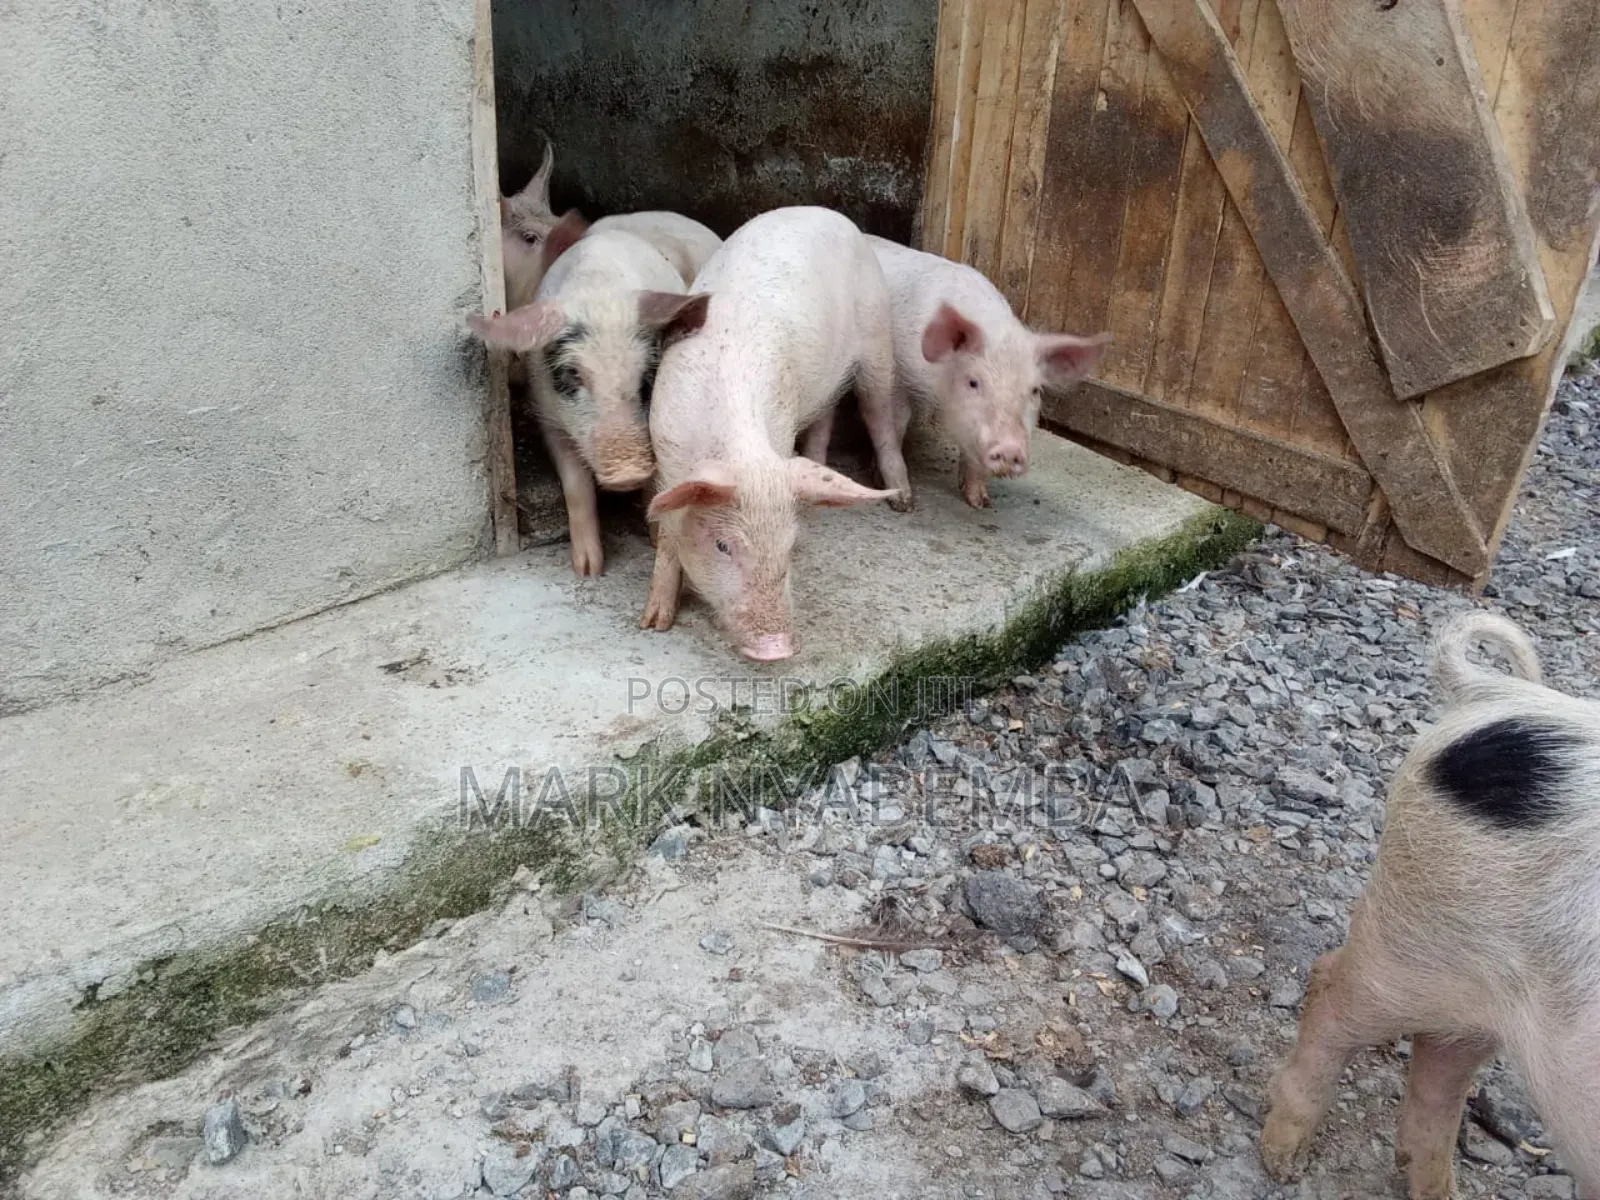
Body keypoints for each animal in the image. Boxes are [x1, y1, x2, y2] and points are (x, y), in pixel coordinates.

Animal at [640, 206, 908, 662]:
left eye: (789, 547)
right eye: (723, 546)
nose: (777, 649)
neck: (738, 447)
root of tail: (831, 213)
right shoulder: (666, 454)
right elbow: (671, 536)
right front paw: (653, 624)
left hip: (878, 337)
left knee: (878, 414)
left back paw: (904, 502)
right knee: (827, 417)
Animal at [865, 235, 1110, 508]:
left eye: (1035, 391)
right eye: (973, 382)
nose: (1011, 450)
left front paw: (980, 502)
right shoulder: (897, 376)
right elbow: (896, 426)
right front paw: (902, 501)